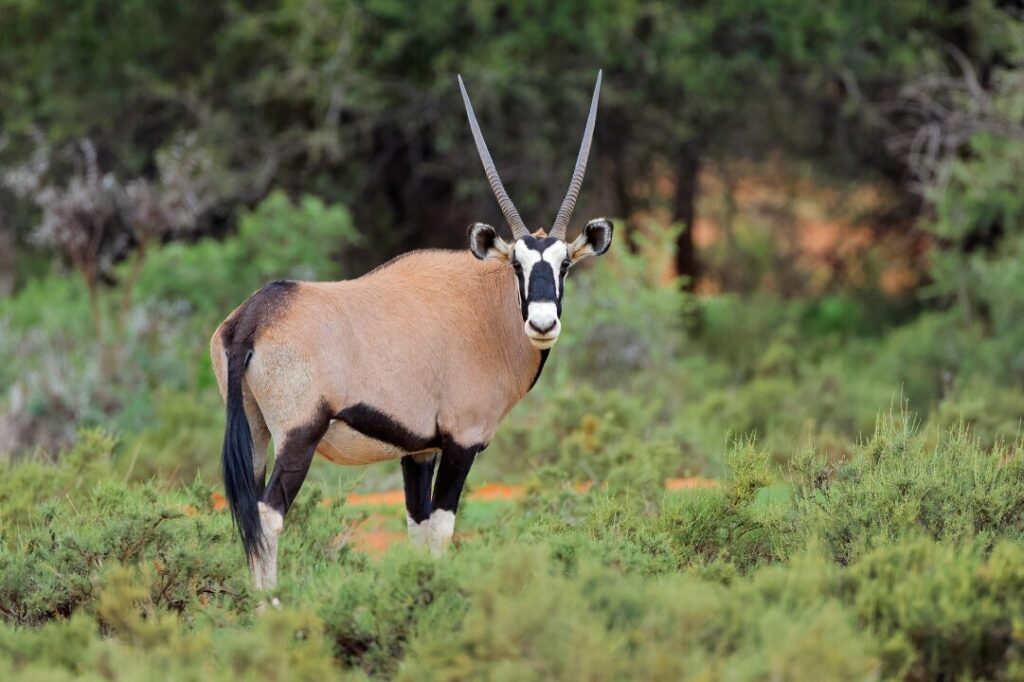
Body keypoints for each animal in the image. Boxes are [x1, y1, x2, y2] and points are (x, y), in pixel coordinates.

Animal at [212, 71, 613, 588]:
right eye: (517, 266)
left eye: (564, 265)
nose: (542, 322)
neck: (484, 307)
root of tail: (256, 315)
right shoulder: (461, 441)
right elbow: (442, 527)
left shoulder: (418, 450)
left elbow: (417, 528)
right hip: (298, 435)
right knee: (268, 515)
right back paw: (272, 604)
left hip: (255, 431)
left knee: (247, 511)